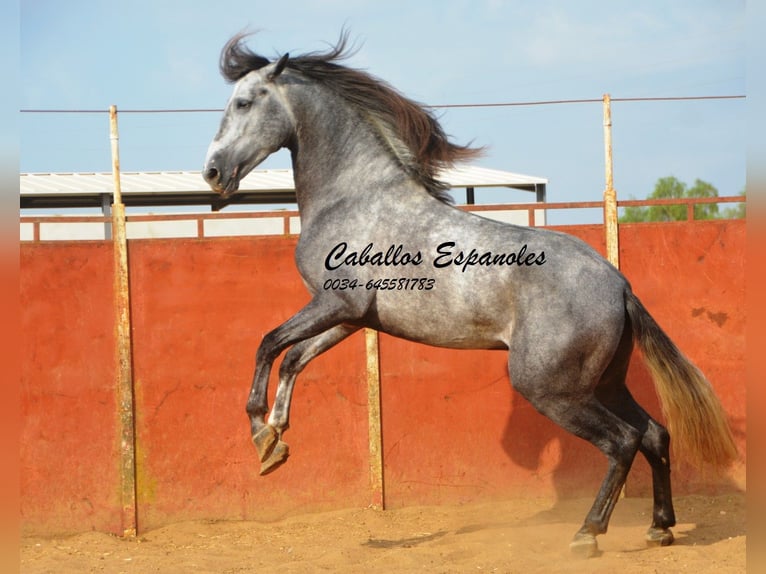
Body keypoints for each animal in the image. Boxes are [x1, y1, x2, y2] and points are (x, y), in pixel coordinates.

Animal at [202, 31, 736, 560]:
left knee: (623, 441)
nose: (212, 173)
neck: (354, 197)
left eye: (244, 101)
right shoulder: (350, 318)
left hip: (551, 388)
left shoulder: (337, 304)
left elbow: (269, 343)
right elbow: (293, 358)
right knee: (655, 434)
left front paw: (259, 432)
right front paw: (275, 441)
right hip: (603, 383)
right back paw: (660, 528)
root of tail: (618, 284)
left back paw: (587, 534)